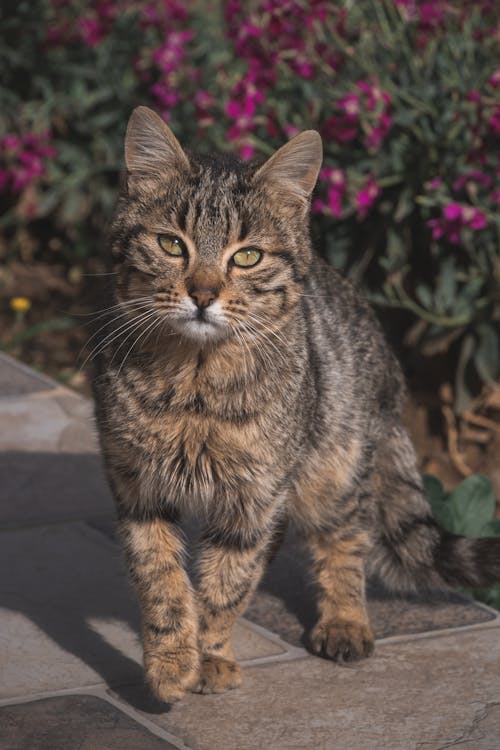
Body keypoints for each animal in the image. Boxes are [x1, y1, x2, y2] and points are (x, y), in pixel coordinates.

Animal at [92, 106, 500, 704]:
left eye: (247, 256)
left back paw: (345, 621)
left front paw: (209, 656)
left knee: (346, 539)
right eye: (171, 245)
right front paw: (171, 663)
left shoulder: (254, 499)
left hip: (333, 468)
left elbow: (225, 583)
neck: (195, 384)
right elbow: (161, 578)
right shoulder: (137, 487)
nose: (202, 294)